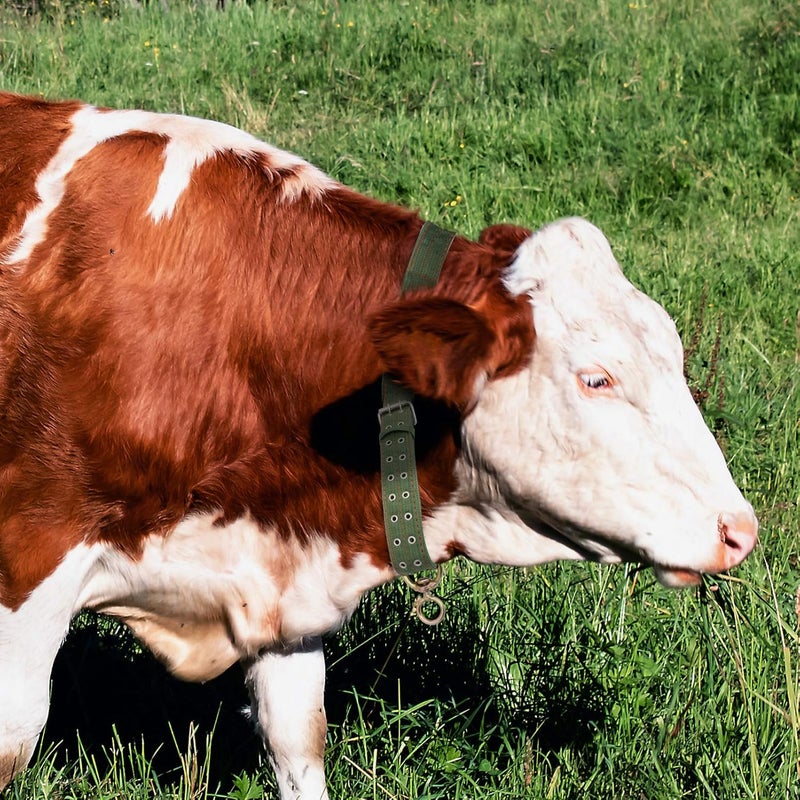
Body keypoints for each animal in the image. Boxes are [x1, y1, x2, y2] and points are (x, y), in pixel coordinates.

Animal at [0, 92, 757, 799]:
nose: (740, 530)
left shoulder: (283, 574)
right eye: (597, 379)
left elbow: (298, 735)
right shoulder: (32, 557)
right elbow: (17, 737)